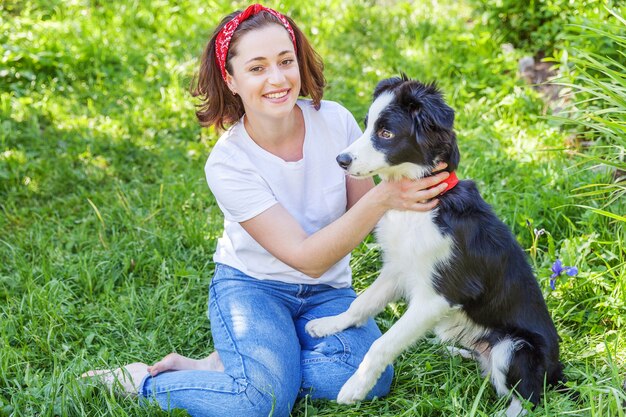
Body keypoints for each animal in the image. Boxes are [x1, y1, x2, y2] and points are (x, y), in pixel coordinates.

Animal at [304, 75, 564, 416]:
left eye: (386, 133)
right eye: (366, 124)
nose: (341, 160)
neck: (419, 207)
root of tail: (558, 372)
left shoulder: (439, 295)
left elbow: (382, 343)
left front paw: (355, 387)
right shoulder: (398, 268)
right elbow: (360, 304)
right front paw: (329, 324)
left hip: (515, 348)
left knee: (527, 399)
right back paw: (455, 351)